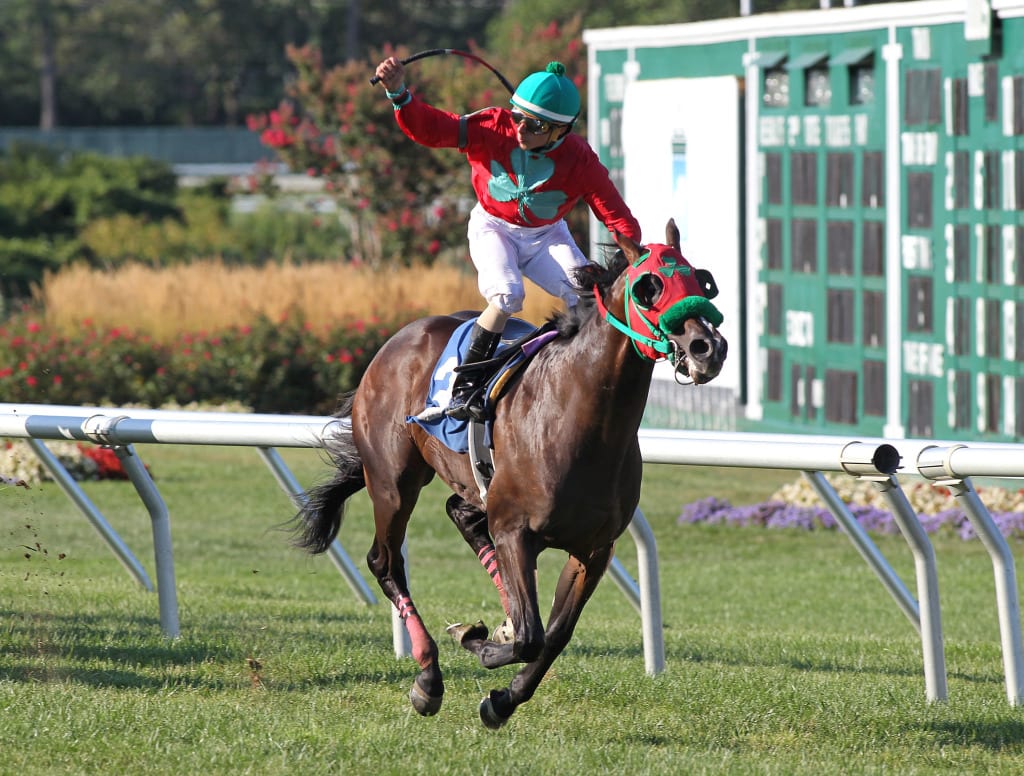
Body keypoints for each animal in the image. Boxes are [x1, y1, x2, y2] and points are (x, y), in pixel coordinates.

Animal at [296, 220, 729, 728]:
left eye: (701, 280)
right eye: (650, 287)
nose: (708, 347)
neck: (583, 422)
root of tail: (399, 338)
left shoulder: (593, 549)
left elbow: (553, 635)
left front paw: (501, 698)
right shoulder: (514, 530)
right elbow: (530, 637)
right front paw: (478, 642)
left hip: (470, 485)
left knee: (461, 514)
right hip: (393, 481)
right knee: (385, 561)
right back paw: (428, 678)